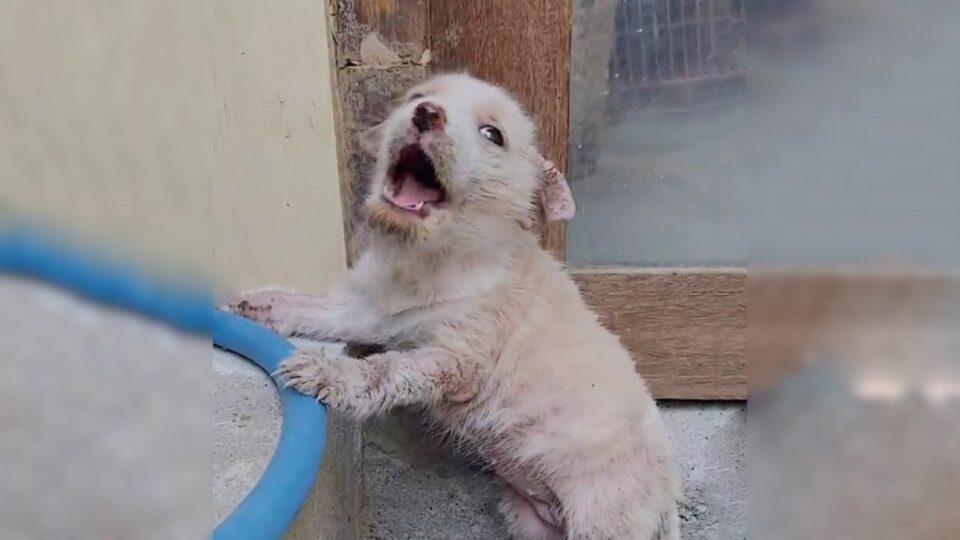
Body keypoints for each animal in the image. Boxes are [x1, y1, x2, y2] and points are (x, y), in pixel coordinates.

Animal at [231, 74, 684, 536]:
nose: (426, 113)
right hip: (529, 518)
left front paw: (325, 373)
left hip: (603, 514)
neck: (429, 257)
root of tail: (666, 502)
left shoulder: (458, 361)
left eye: (492, 134)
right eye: (417, 96)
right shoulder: (373, 310)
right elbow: (322, 309)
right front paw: (265, 304)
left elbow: (386, 370)